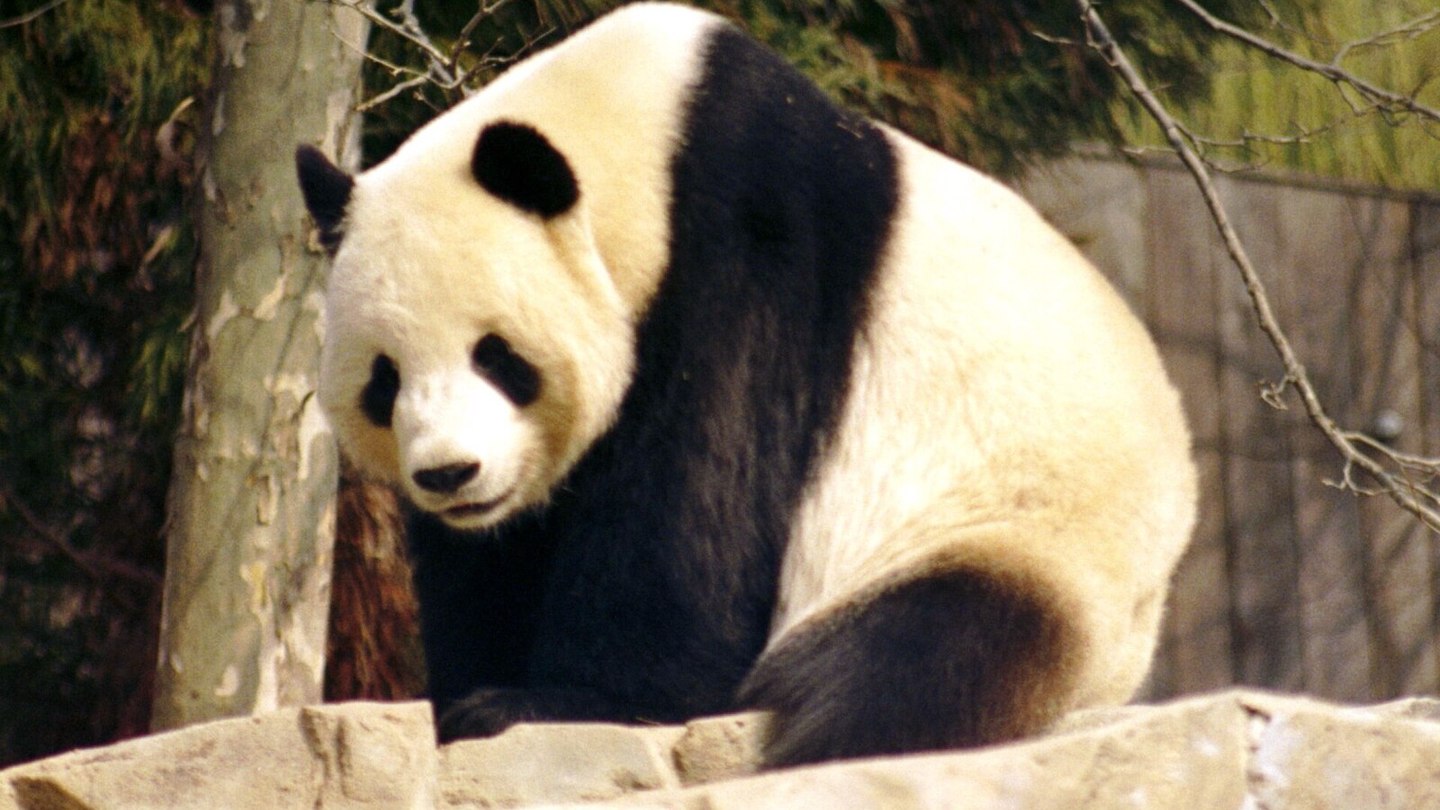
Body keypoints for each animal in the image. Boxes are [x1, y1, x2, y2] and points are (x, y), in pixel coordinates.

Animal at [295, 2, 1195, 768]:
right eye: (385, 380)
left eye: (497, 356)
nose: (450, 475)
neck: (643, 137)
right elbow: (493, 557)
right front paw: (471, 692)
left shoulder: (750, 251)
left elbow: (699, 494)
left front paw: (554, 702)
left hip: (1018, 534)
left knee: (919, 661)